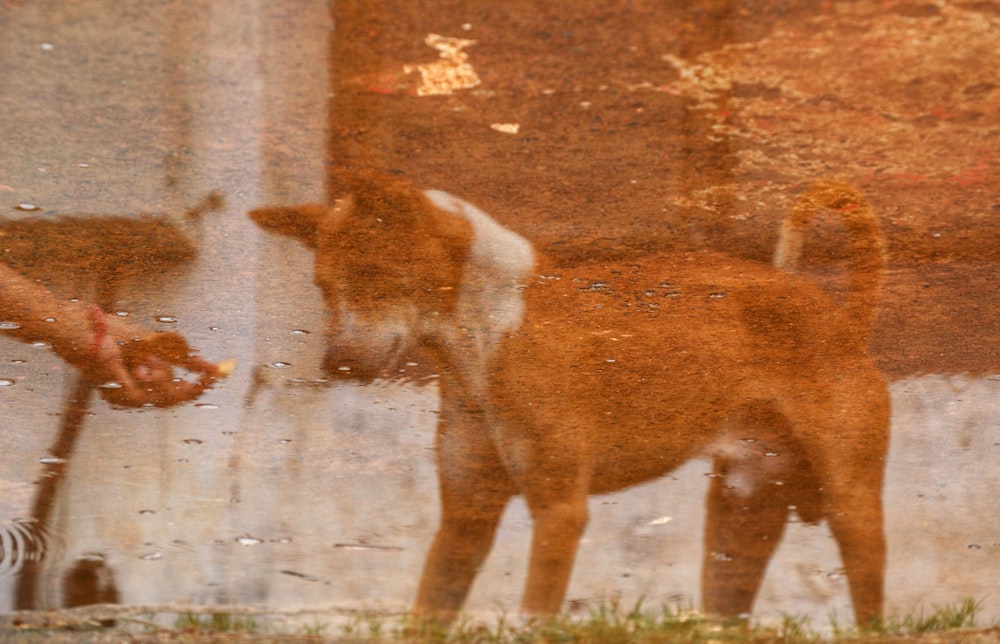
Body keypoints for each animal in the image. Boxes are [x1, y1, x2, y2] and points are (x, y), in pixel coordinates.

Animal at [252, 174, 892, 628]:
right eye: (323, 287)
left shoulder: (560, 513)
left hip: (852, 509)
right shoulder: (464, 518)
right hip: (738, 522)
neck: (490, 337)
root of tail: (842, 318)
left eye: (375, 273)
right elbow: (426, 613)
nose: (335, 364)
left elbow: (537, 615)